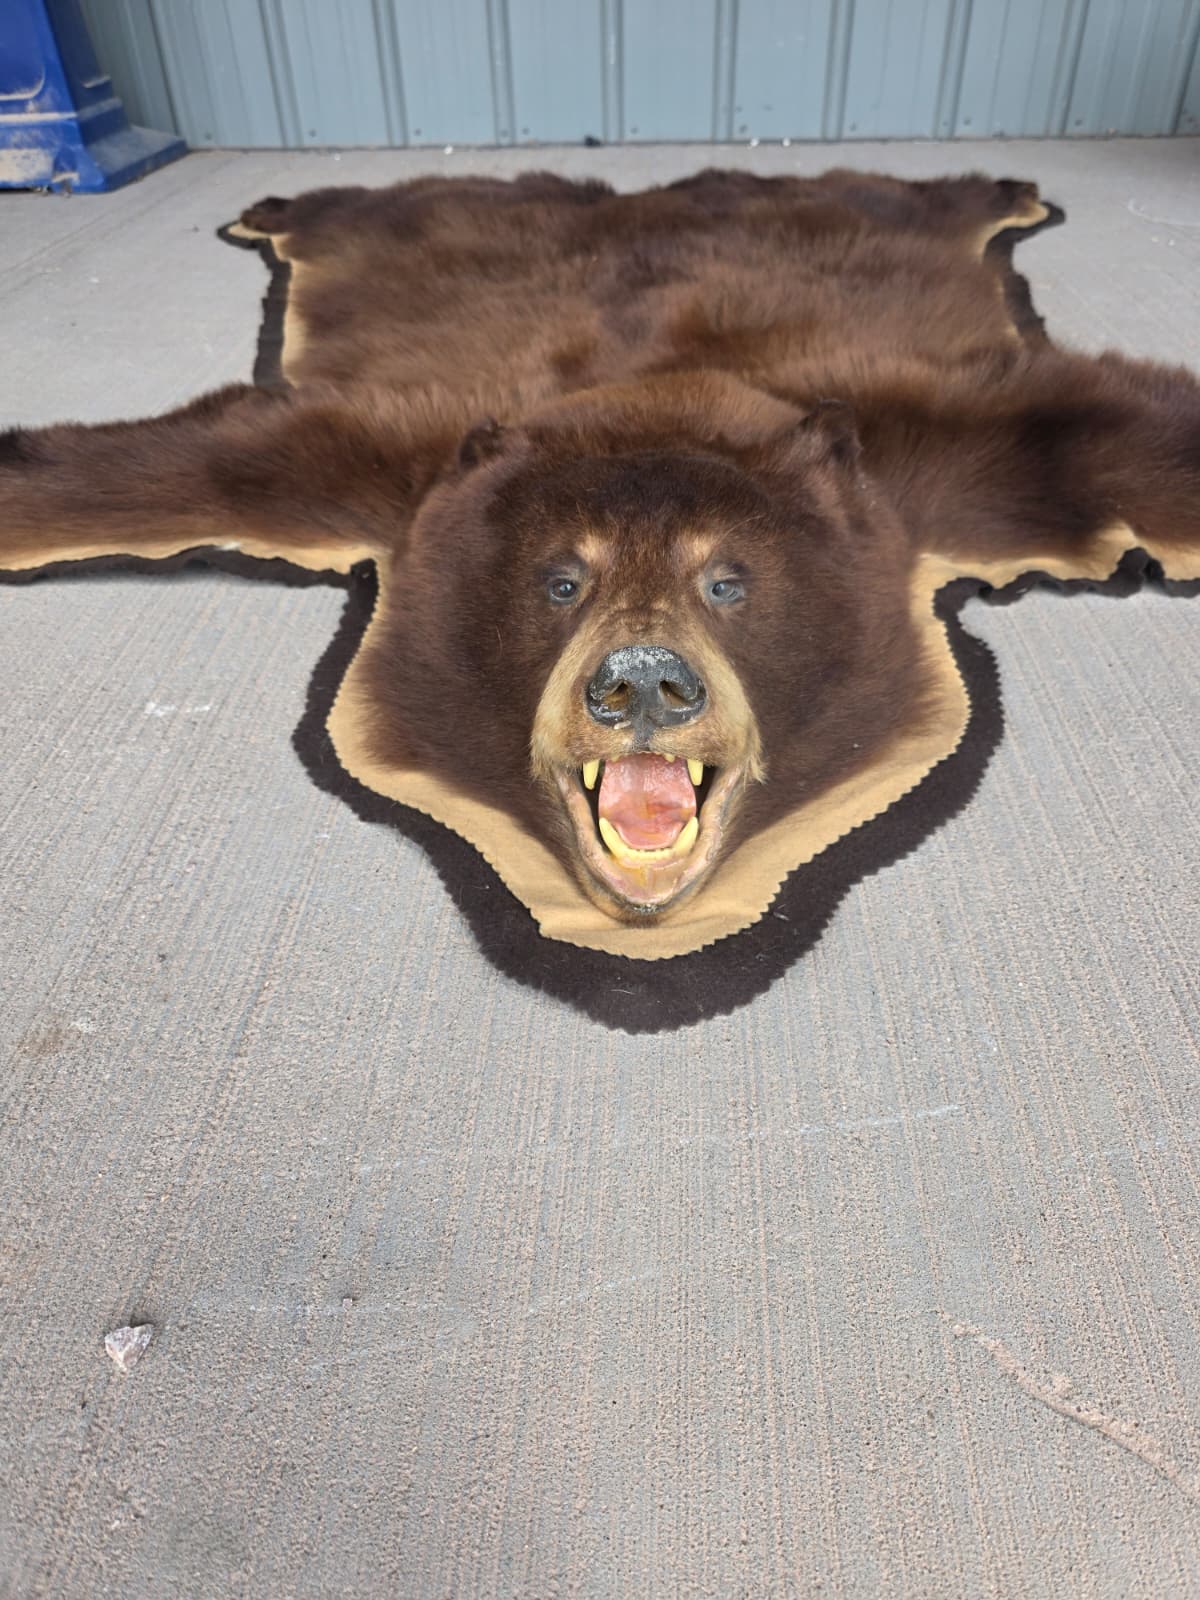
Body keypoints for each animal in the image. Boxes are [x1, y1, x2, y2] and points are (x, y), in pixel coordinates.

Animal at [2, 168, 1198, 1005]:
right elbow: (203, 463)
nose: (643, 681)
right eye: (561, 580)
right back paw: (276, 205)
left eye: (728, 582)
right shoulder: (388, 462)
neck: (656, 394)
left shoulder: (937, 452)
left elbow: (1108, 429)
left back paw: (1004, 191)